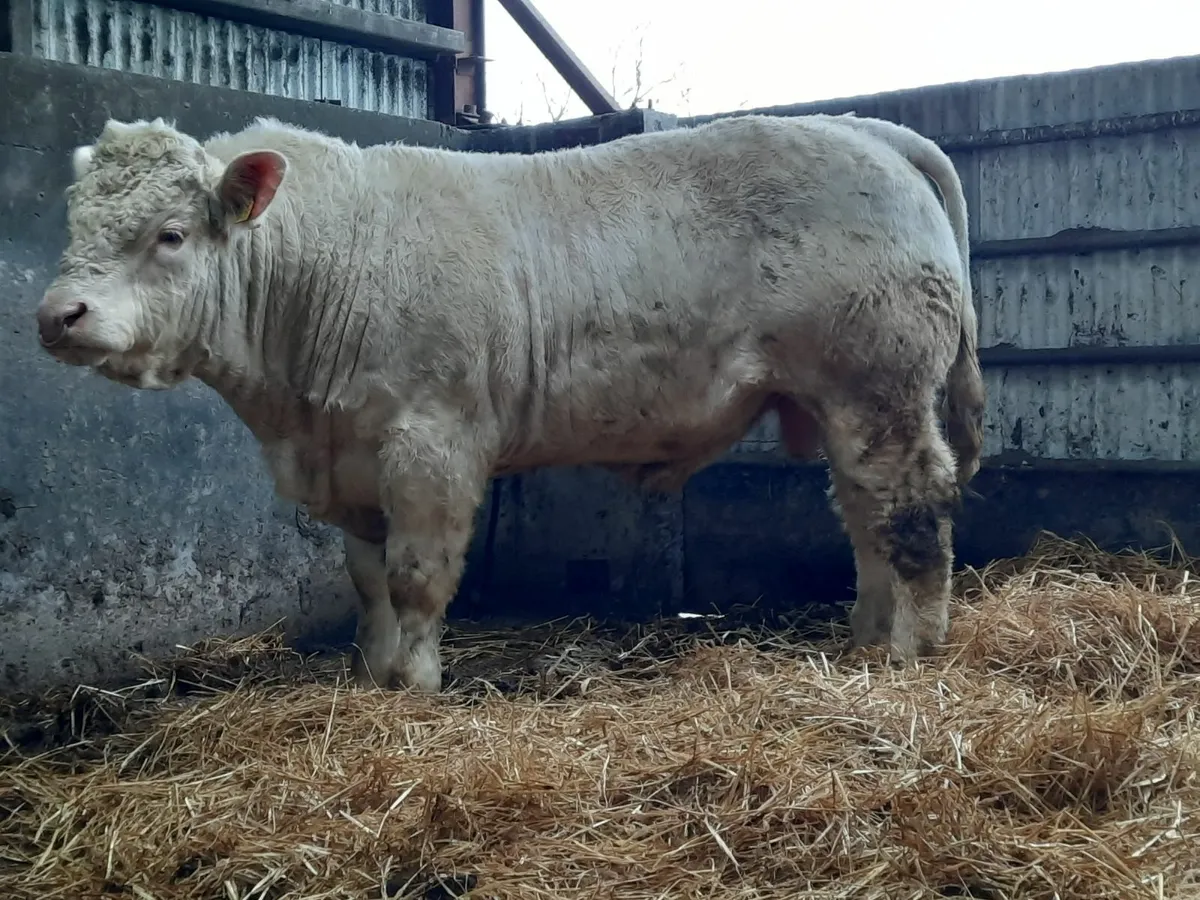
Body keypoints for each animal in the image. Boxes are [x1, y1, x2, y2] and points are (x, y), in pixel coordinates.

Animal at [34, 112, 986, 692]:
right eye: (74, 222)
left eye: (170, 235)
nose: (57, 315)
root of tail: (863, 129)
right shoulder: (352, 454)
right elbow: (369, 580)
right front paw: (374, 674)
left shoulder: (433, 440)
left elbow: (417, 576)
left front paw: (415, 685)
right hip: (841, 402)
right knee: (863, 508)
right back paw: (866, 634)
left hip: (882, 387)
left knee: (914, 503)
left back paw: (915, 645)